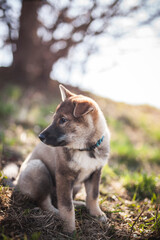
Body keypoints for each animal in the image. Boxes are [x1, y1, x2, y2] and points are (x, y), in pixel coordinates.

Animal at [14, 85, 110, 232]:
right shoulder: (64, 175)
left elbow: (93, 195)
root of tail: (15, 184)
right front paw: (69, 228)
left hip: (75, 186)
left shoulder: (95, 172)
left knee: (59, 199)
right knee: (45, 202)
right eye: (54, 118)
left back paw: (79, 204)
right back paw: (57, 214)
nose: (40, 137)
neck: (85, 149)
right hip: (38, 168)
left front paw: (97, 213)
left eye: (63, 120)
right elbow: (66, 206)